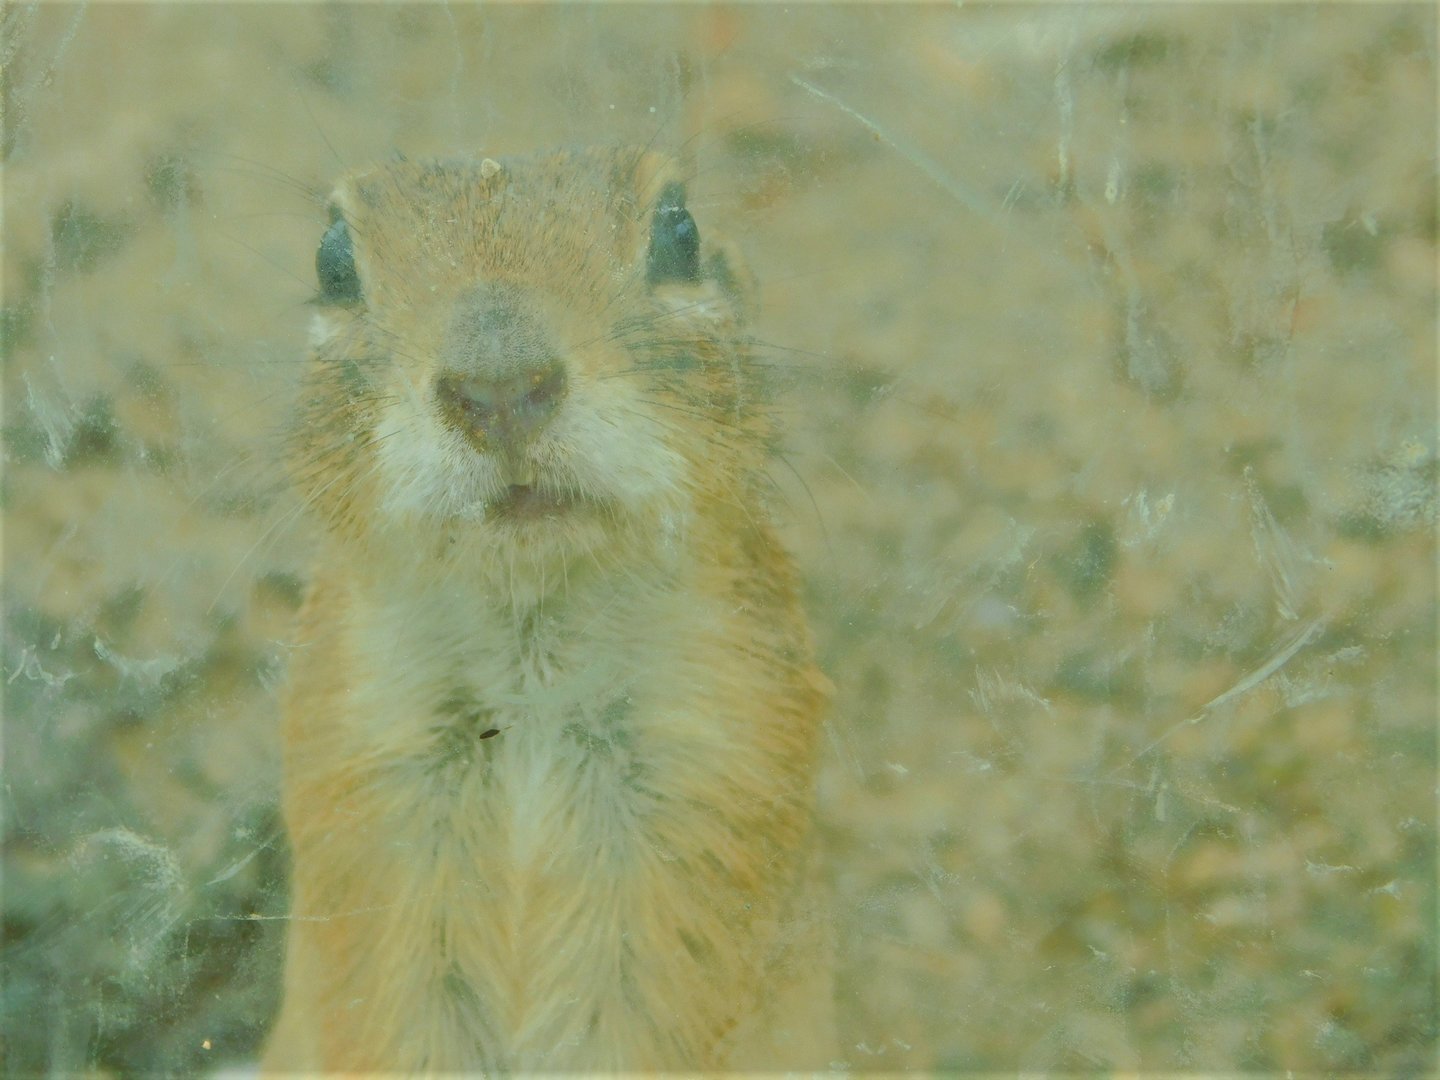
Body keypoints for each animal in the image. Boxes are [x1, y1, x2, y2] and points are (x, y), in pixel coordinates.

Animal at [261, 146, 834, 1073]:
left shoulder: (715, 767)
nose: (498, 385)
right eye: (332, 260)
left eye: (680, 232)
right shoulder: (366, 777)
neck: (532, 677)